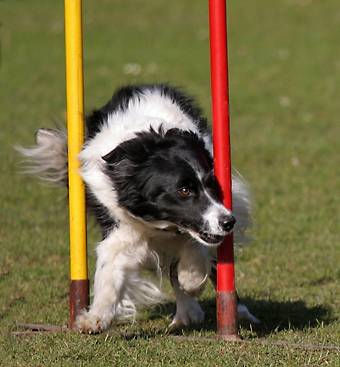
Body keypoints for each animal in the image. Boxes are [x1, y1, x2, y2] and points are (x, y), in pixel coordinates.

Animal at [17, 83, 258, 334]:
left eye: (212, 184)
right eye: (184, 190)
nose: (228, 222)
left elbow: (196, 248)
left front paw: (191, 279)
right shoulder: (118, 224)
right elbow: (109, 268)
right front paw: (94, 319)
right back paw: (187, 313)